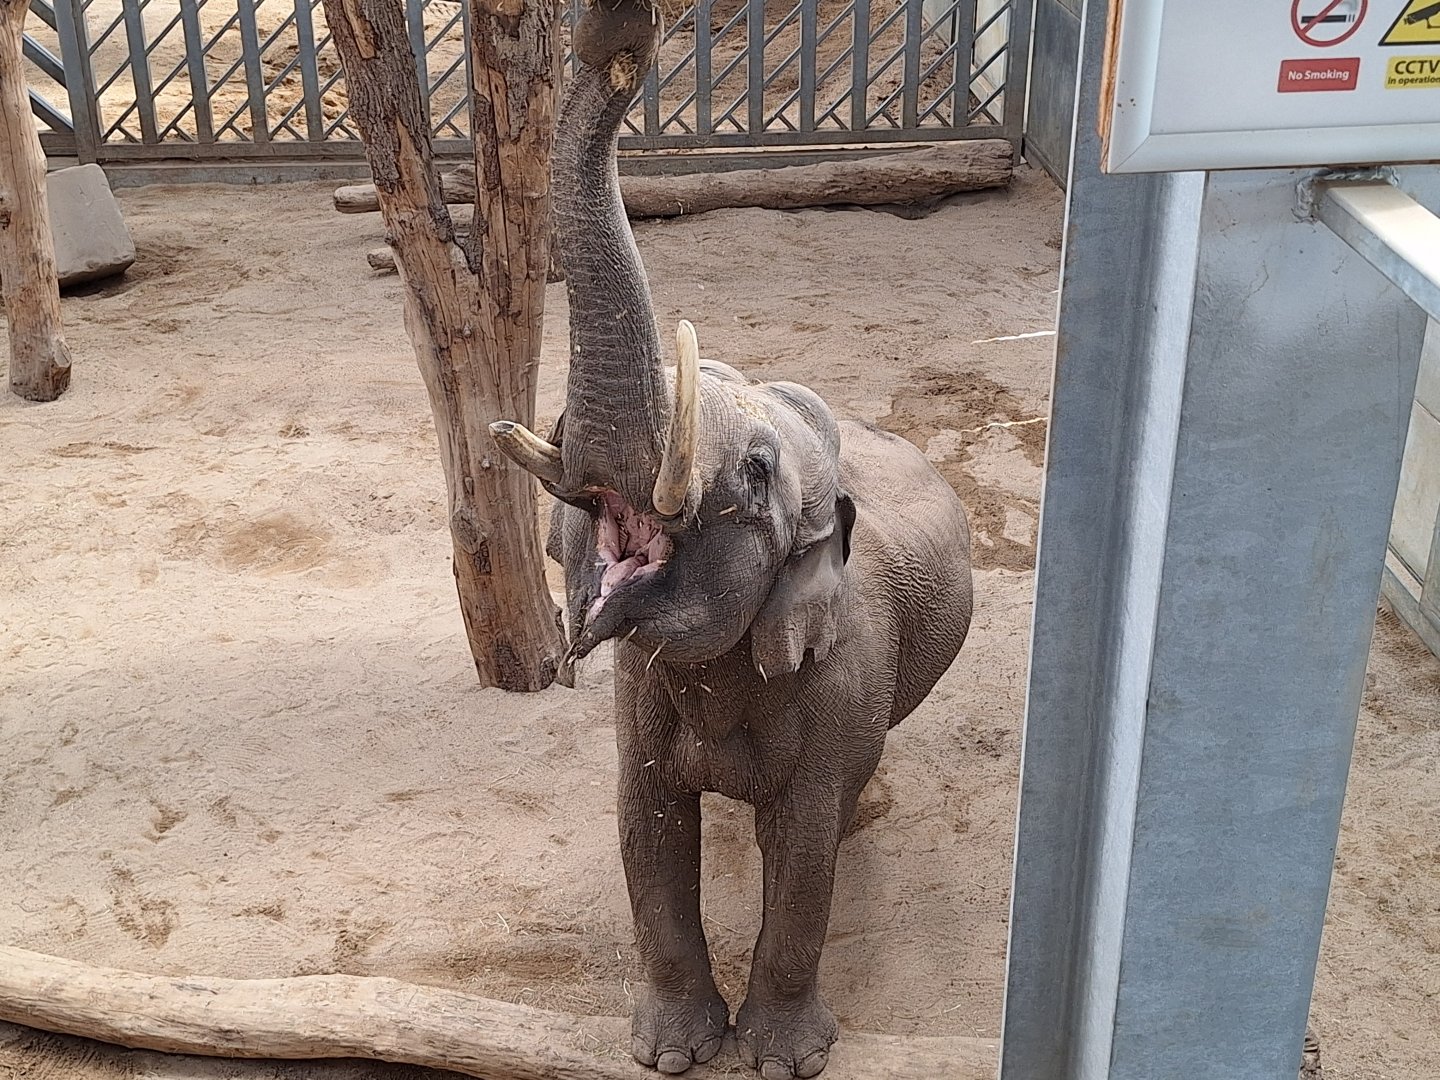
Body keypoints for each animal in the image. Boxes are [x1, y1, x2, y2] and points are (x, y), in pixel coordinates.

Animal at [489, 1, 973, 1076]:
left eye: (753, 473)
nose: (617, 35)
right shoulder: (637, 695)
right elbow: (646, 830)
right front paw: (671, 1052)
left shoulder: (838, 683)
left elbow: (802, 857)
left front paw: (781, 1058)